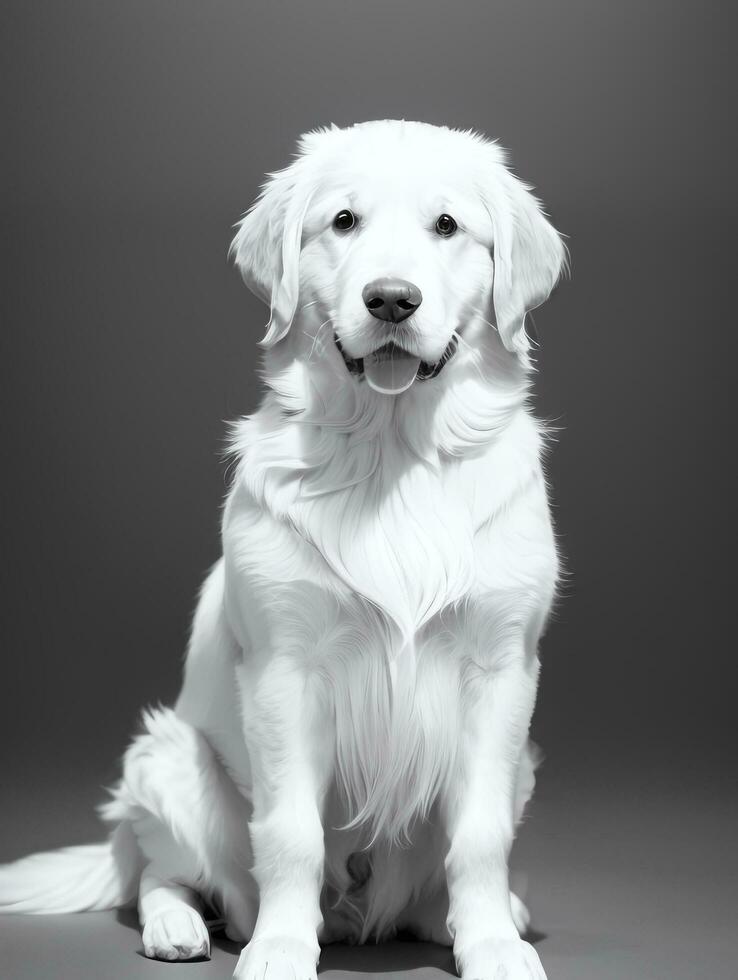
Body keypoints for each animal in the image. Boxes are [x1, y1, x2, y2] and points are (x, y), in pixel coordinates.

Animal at [0, 122, 568, 980]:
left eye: (447, 225)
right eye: (343, 222)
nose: (391, 299)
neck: (392, 453)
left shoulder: (501, 670)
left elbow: (480, 836)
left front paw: (494, 945)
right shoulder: (285, 672)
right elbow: (291, 835)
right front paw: (279, 949)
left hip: (521, 762)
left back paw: (481, 915)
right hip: (164, 760)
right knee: (164, 876)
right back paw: (179, 927)